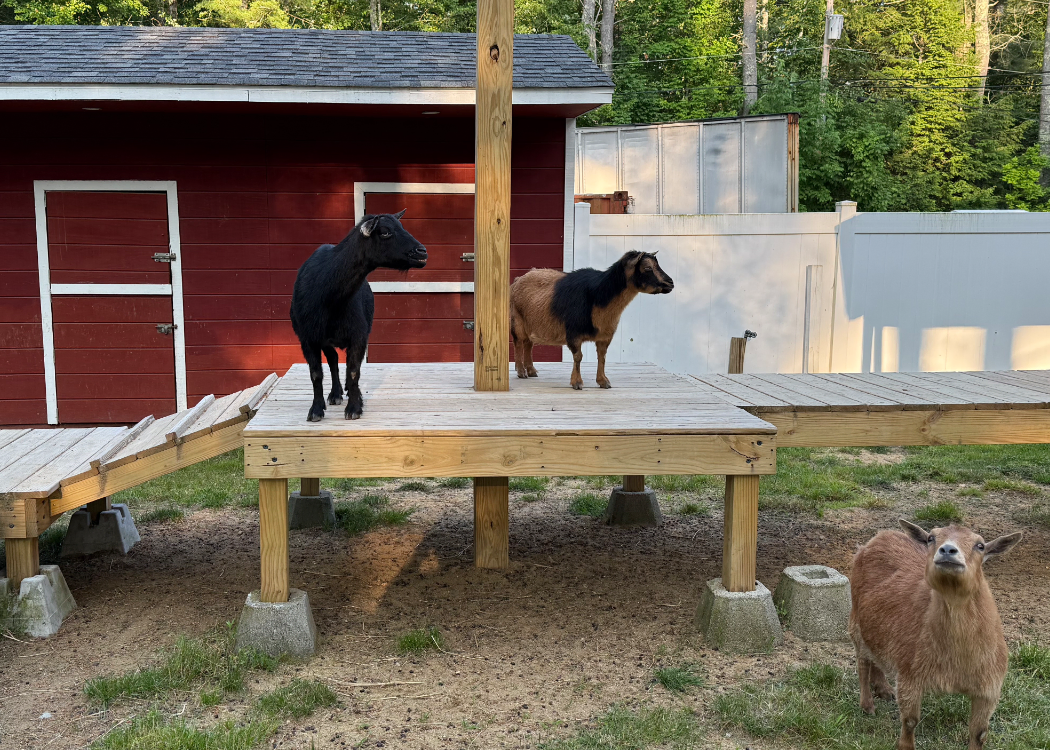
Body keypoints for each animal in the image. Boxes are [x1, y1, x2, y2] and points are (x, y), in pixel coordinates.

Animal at [289, 210, 427, 421]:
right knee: (333, 361)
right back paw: (335, 394)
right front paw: (316, 410)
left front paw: (354, 407)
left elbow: (354, 371)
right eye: (385, 232)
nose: (422, 252)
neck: (330, 297)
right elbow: (316, 374)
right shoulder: (308, 338)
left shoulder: (359, 335)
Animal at [509, 250, 673, 389]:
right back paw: (521, 372)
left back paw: (531, 371)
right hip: (517, 321)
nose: (670, 283)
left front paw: (603, 382)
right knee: (518, 343)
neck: (598, 295)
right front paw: (577, 383)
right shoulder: (573, 333)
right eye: (647, 268)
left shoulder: (605, 336)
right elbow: (578, 357)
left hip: (530, 323)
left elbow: (602, 357)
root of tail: (518, 280)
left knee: (528, 344)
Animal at [849, 519, 1022, 750]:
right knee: (862, 661)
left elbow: (979, 733)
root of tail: (880, 536)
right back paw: (867, 704)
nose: (948, 550)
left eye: (980, 545)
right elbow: (910, 721)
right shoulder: (910, 673)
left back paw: (884, 689)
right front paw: (905, 746)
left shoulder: (989, 688)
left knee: (875, 653)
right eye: (931, 538)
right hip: (855, 622)